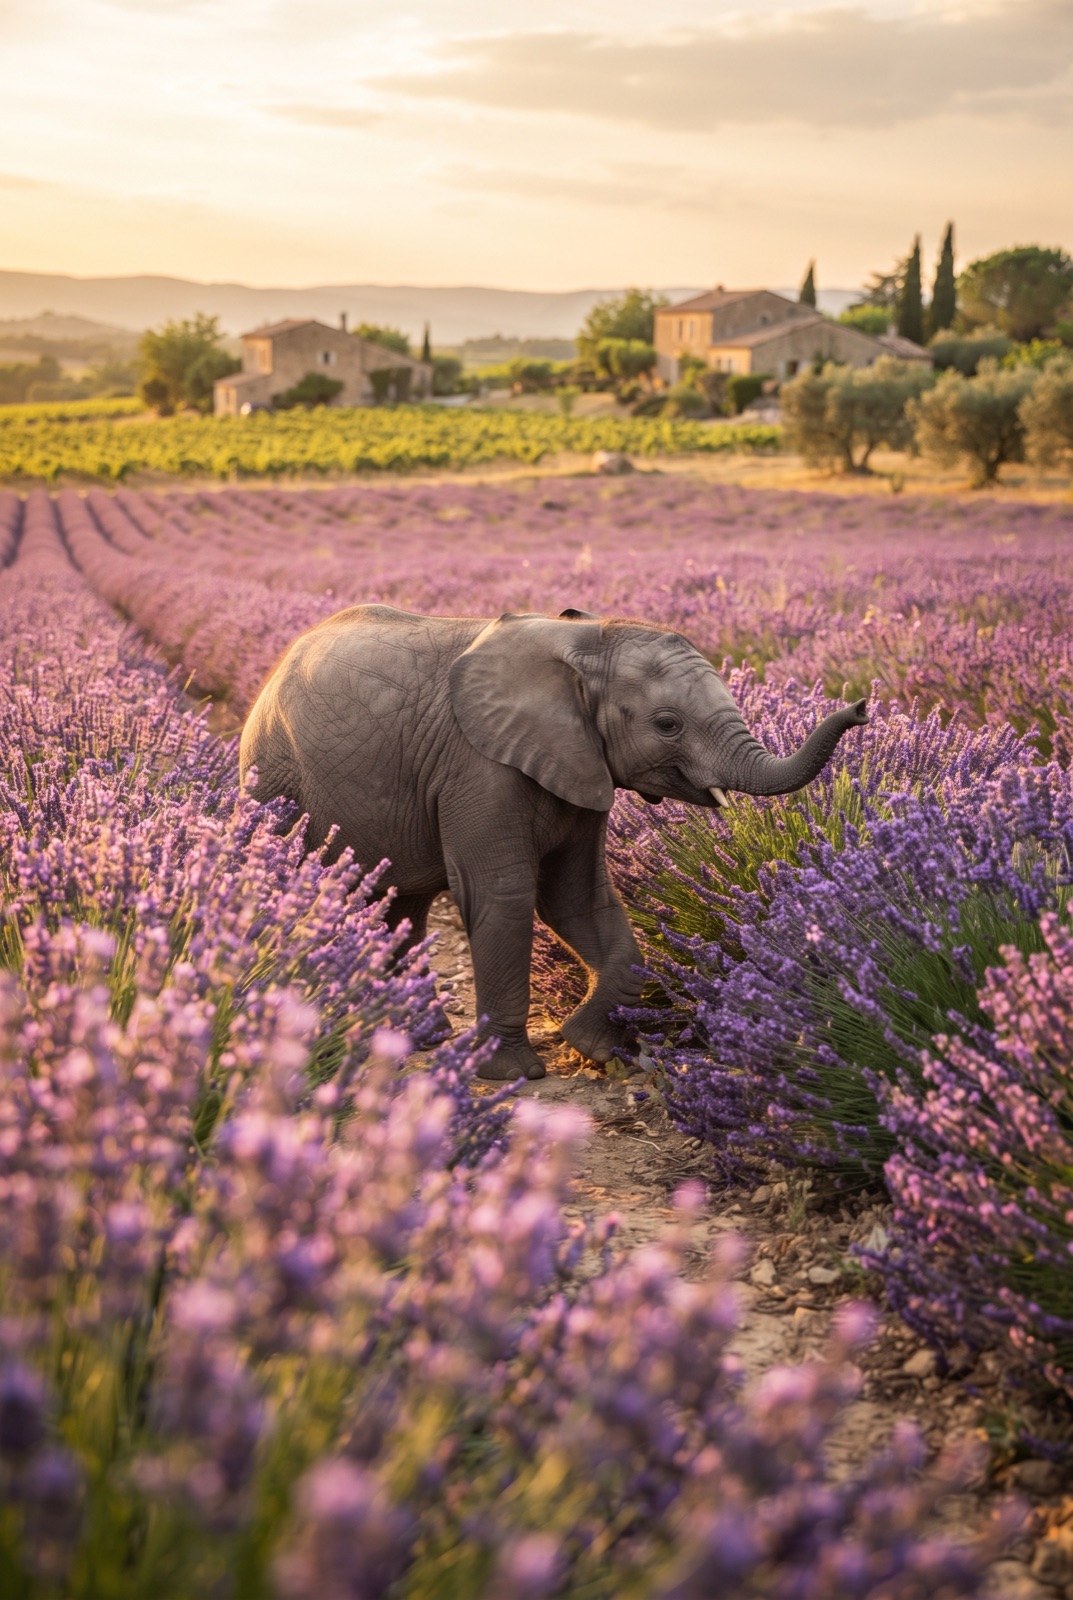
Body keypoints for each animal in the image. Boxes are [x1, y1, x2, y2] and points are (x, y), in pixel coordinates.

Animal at [240, 605, 867, 1082]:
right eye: (667, 724)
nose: (861, 707)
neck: (587, 646)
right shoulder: (479, 766)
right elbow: (505, 896)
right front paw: (511, 1073)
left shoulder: (578, 761)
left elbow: (576, 897)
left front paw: (598, 1048)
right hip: (275, 777)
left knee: (400, 908)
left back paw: (419, 1037)